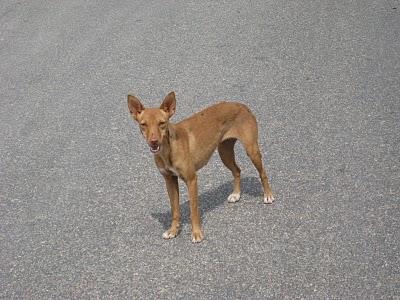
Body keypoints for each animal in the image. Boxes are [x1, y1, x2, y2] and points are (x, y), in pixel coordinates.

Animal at [126, 92, 274, 244]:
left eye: (162, 123)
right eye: (143, 124)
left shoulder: (191, 180)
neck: (168, 150)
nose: (153, 141)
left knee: (263, 173)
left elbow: (193, 210)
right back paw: (236, 194)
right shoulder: (169, 180)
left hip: (251, 150)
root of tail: (241, 105)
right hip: (224, 152)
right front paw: (173, 231)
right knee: (237, 171)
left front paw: (196, 233)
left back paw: (268, 195)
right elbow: (175, 210)